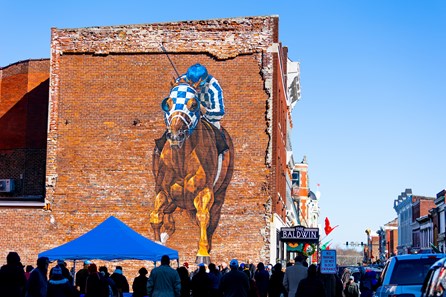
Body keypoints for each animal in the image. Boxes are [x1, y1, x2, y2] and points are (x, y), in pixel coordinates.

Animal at [150, 80, 233, 262]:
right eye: (168, 103)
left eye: (194, 104)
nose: (175, 135)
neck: (181, 161)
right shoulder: (162, 190)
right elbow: (156, 216)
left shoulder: (204, 191)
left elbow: (203, 217)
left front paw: (202, 254)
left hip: (221, 192)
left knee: (212, 219)